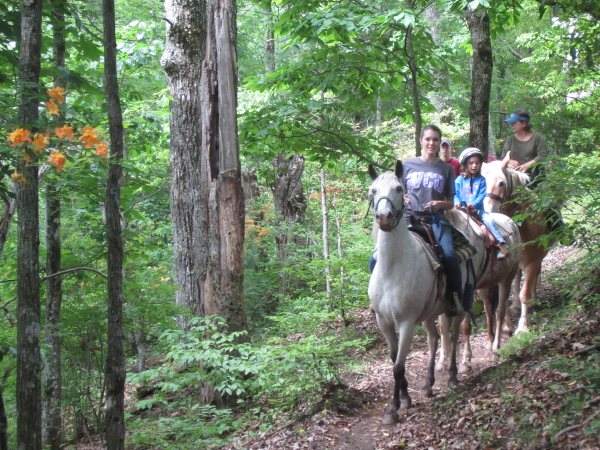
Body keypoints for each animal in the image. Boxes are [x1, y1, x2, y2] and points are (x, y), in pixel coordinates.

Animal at [480, 156, 552, 334]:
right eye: (482, 181)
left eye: (501, 183)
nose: (488, 210)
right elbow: (506, 296)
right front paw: (507, 325)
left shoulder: (532, 261)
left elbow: (524, 293)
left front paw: (523, 328)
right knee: (517, 280)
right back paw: (516, 307)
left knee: (533, 278)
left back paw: (534, 301)